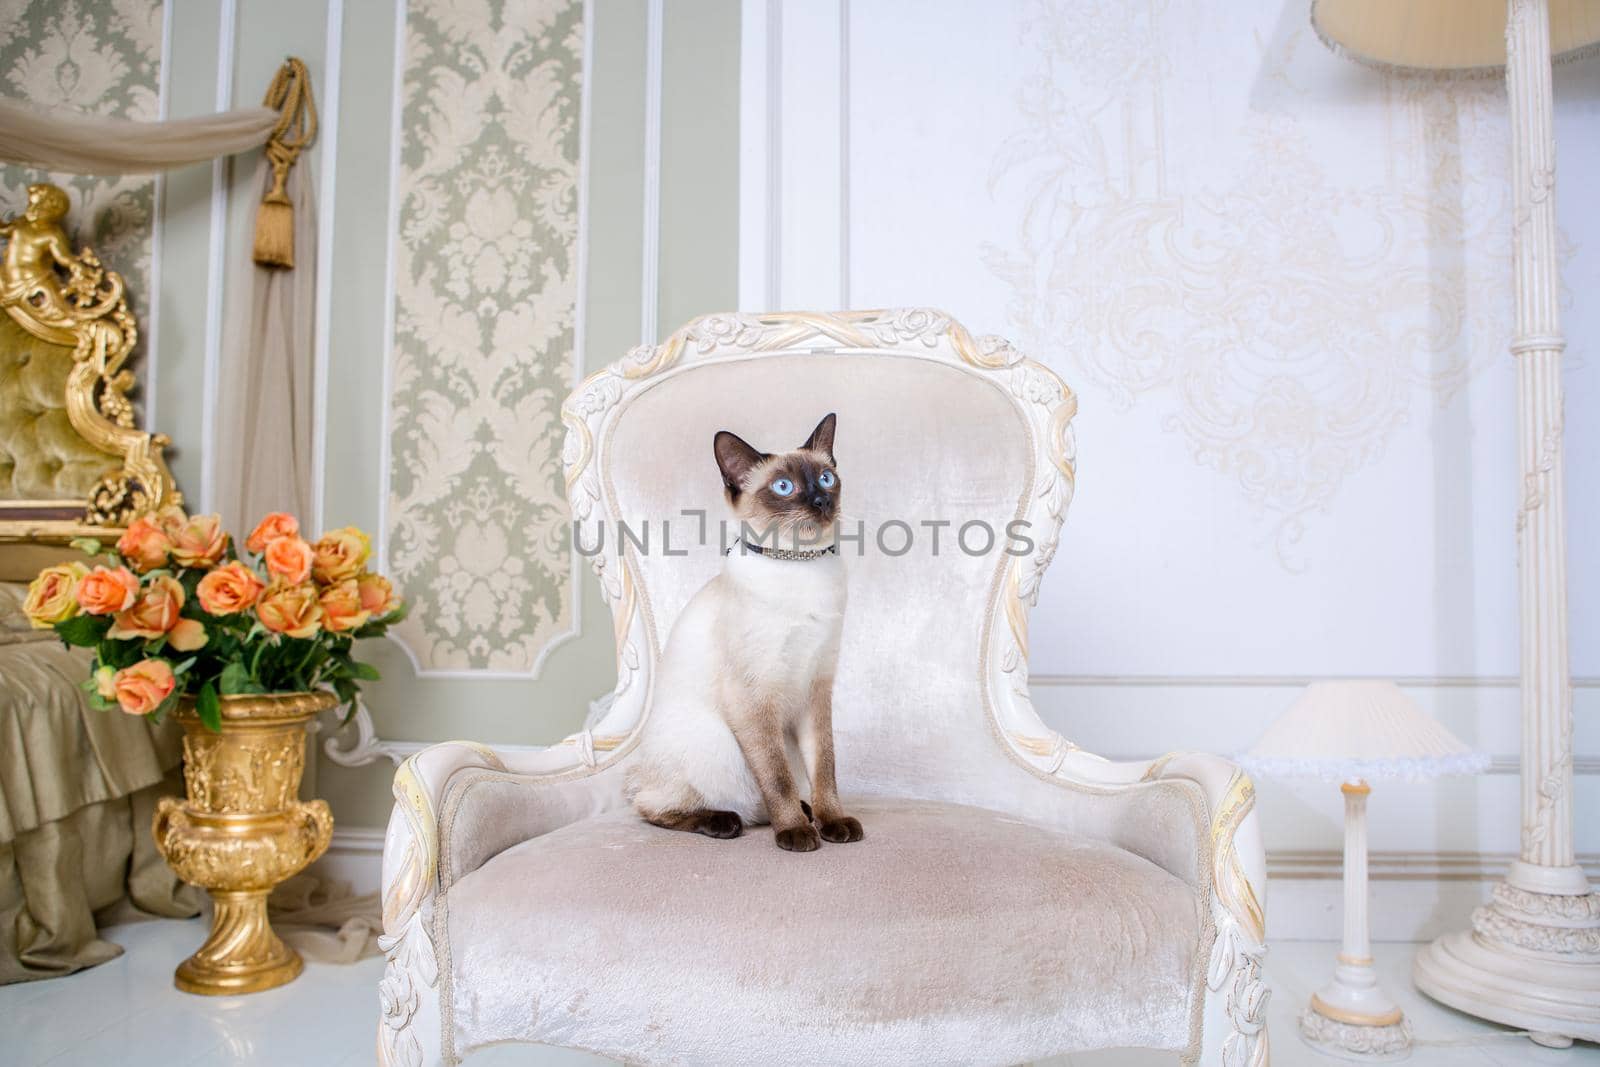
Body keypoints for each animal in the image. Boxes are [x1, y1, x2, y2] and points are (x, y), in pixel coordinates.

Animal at [624, 412, 864, 857]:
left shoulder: (816, 688)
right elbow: (776, 776)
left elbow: (824, 769)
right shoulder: (754, 697)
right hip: (714, 741)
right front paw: (795, 835)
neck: (800, 565)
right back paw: (728, 822)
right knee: (653, 807)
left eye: (825, 479)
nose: (821, 502)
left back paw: (804, 812)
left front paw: (832, 823)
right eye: (784, 487)